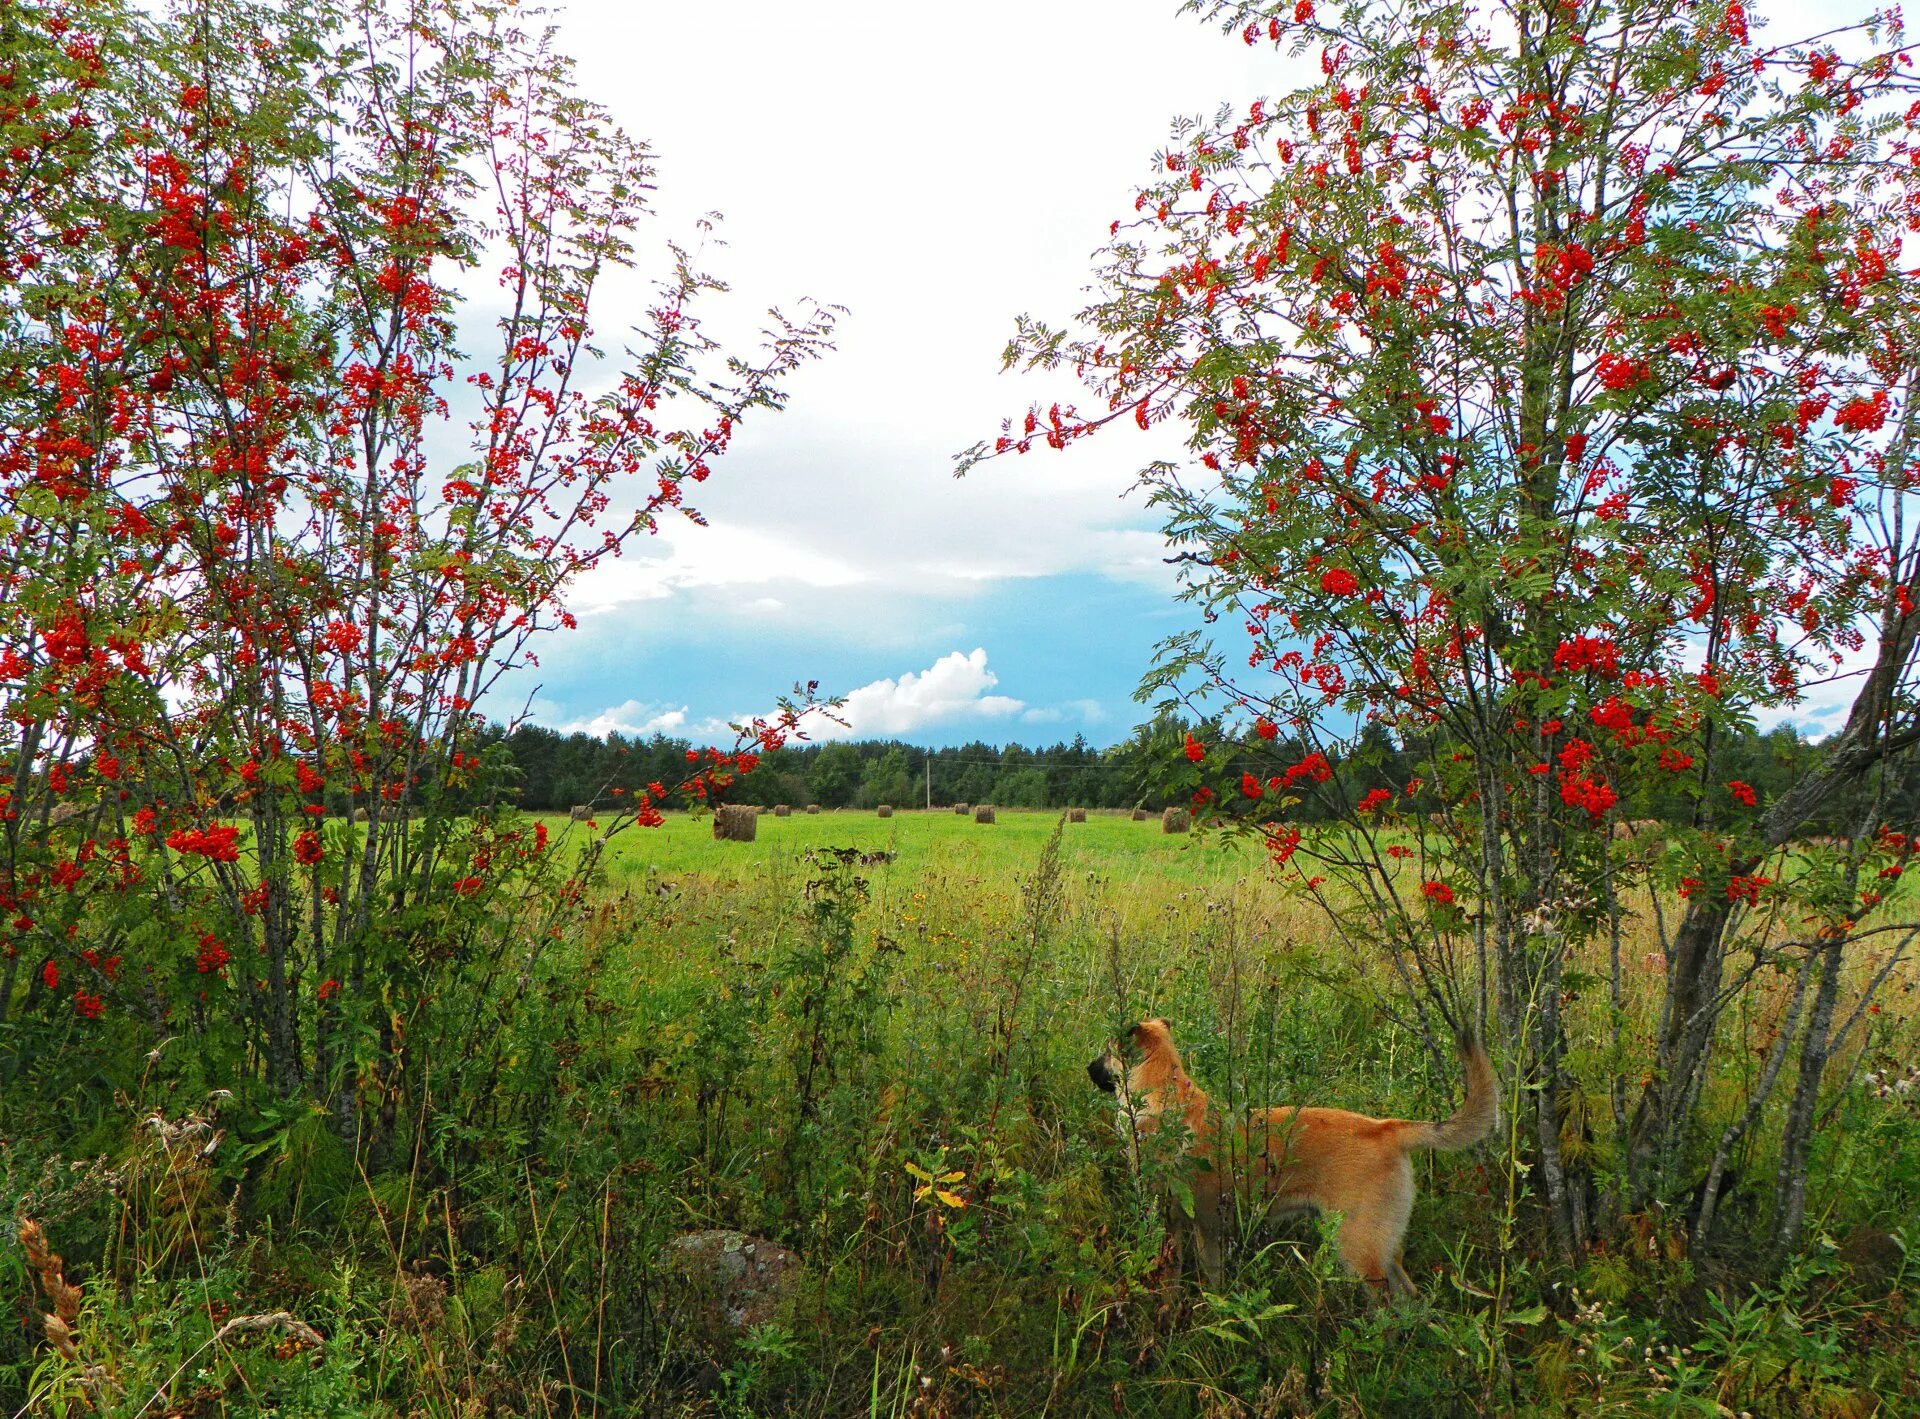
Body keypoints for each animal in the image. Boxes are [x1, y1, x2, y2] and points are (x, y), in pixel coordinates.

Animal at [1090, 1021, 1489, 1298]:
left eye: (1106, 1052)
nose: (1088, 1069)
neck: (1163, 1091)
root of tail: (1386, 1128)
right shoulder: (1206, 1230)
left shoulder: (1172, 1220)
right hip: (1380, 1243)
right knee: (1409, 1296)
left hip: (1358, 1249)